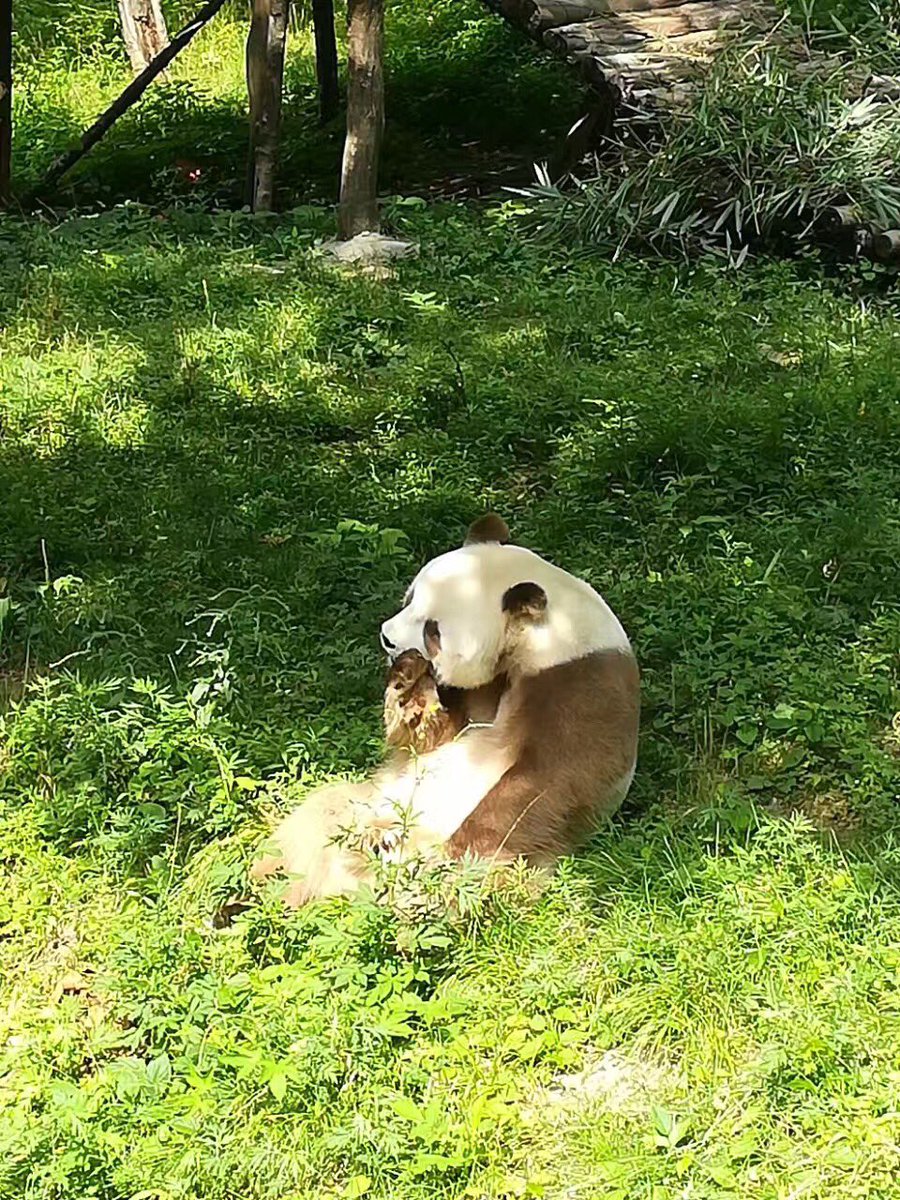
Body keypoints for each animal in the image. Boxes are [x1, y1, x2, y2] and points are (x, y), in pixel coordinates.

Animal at [250, 515, 640, 905]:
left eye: (432, 629)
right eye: (410, 598)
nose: (387, 639)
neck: (539, 638)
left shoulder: (581, 684)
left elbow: (552, 780)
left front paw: (456, 849)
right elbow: (432, 736)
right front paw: (408, 683)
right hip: (366, 802)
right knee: (315, 818)